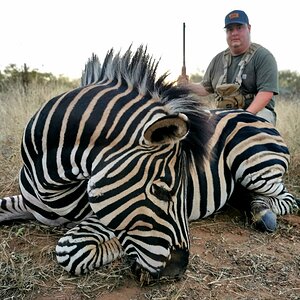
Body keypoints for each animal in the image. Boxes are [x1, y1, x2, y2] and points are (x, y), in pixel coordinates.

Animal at [0, 45, 298, 280]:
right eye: (161, 191)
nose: (178, 270)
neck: (49, 186)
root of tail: (250, 114)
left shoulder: (100, 216)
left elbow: (72, 250)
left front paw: (119, 248)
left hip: (255, 167)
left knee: (288, 198)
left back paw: (261, 211)